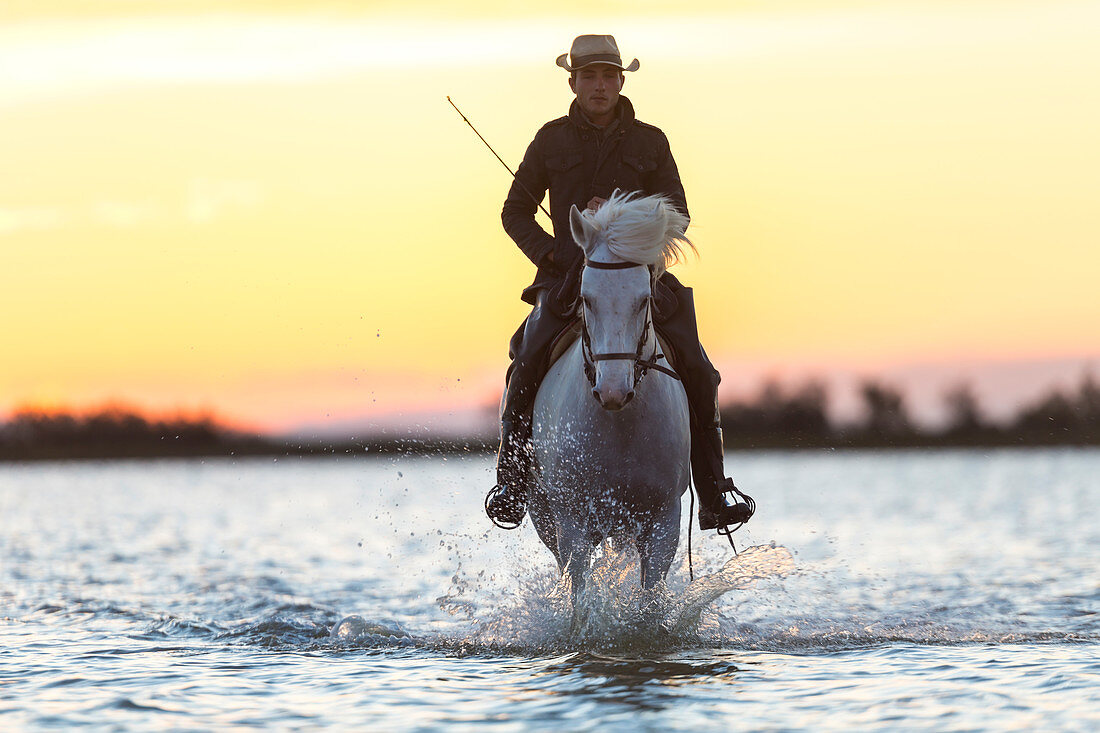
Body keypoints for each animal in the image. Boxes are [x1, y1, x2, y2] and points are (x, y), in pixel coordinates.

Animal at [525, 189, 695, 616]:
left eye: (644, 299)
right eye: (585, 298)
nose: (613, 392)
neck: (619, 425)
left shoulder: (663, 520)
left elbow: (650, 598)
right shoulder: (571, 522)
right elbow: (579, 594)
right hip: (544, 514)